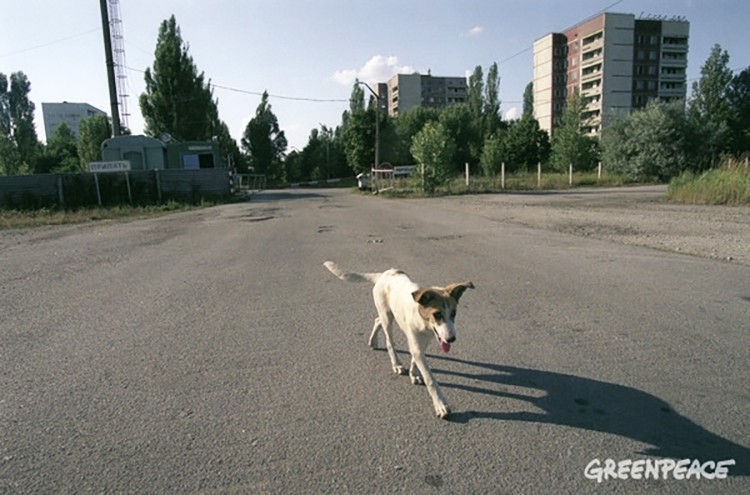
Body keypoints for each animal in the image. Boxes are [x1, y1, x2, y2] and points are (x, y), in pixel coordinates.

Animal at [324, 260, 476, 418]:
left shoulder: (422, 344)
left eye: (454, 313)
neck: (423, 321)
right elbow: (430, 379)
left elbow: (414, 360)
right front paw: (440, 404)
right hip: (387, 317)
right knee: (389, 341)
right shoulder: (417, 345)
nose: (452, 339)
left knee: (377, 320)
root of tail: (383, 274)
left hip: (387, 314)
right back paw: (396, 363)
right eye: (437, 314)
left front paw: (413, 374)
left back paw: (373, 341)